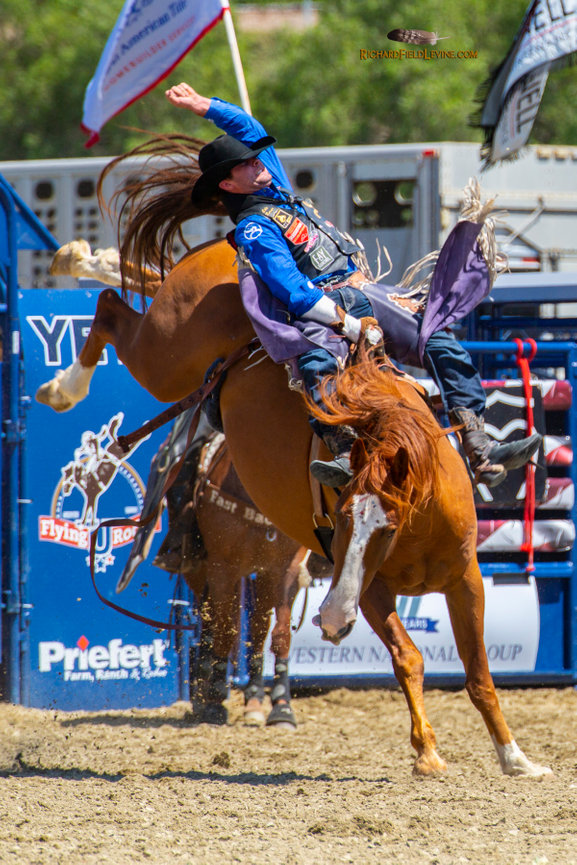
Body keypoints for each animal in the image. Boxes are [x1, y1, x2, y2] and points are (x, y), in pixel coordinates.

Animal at [35, 141, 550, 776]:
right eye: (343, 516)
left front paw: (515, 759)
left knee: (133, 285)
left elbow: (478, 674)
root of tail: (228, 254)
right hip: (168, 350)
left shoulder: (465, 578)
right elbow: (408, 657)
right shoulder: (363, 586)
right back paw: (63, 371)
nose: (329, 622)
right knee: (111, 308)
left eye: (390, 523)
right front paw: (427, 752)